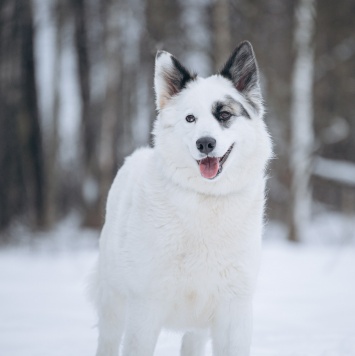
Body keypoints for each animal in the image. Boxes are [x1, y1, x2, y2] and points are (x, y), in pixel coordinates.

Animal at [90, 41, 274, 356]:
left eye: (224, 115)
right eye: (190, 119)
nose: (205, 143)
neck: (207, 200)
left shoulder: (234, 312)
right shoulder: (145, 310)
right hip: (113, 306)